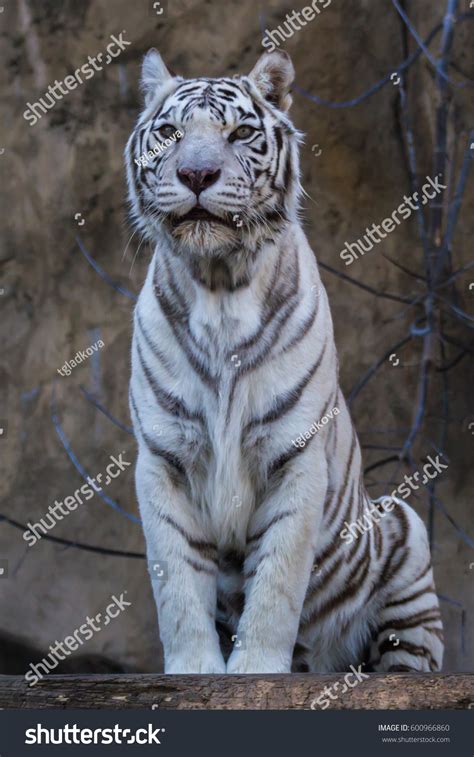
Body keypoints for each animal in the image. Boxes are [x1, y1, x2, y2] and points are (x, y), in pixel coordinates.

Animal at [127, 48, 444, 672]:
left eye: (240, 133)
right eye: (171, 133)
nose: (196, 176)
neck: (218, 286)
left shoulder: (294, 455)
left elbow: (277, 582)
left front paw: (254, 671)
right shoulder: (163, 458)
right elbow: (177, 583)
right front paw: (196, 672)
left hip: (404, 529)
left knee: (405, 658)